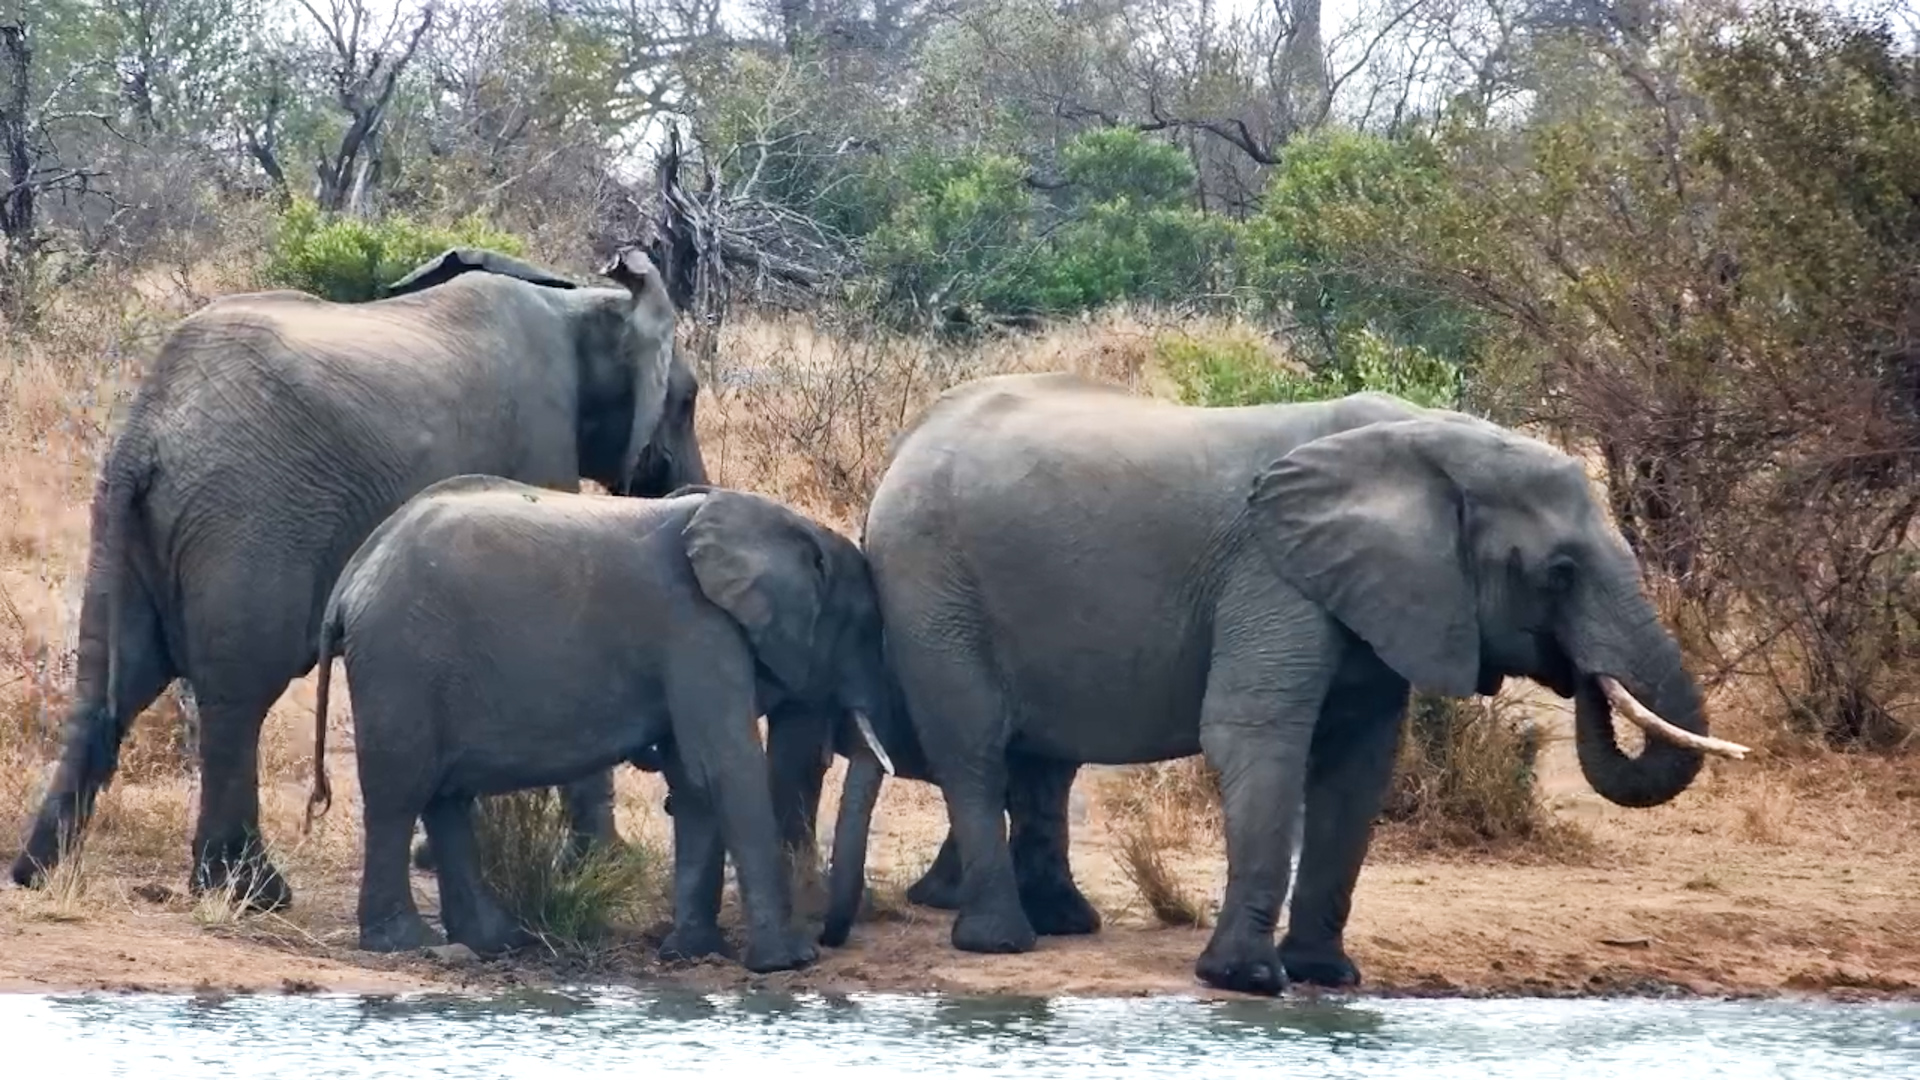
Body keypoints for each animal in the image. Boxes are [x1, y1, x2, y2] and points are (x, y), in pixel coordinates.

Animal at [9, 246, 707, 912]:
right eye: (688, 399)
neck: (578, 303)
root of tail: (146, 435)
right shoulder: (539, 436)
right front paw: (601, 867)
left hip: (126, 525)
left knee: (111, 685)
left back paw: (37, 871)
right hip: (251, 520)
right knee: (238, 696)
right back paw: (252, 891)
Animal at [302, 475, 894, 972]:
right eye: (869, 628)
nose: (828, 939)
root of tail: (351, 580)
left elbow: (693, 782)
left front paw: (693, 953)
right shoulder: (698, 627)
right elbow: (726, 768)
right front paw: (787, 963)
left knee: (446, 799)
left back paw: (497, 942)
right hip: (400, 661)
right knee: (400, 795)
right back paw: (405, 943)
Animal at [832, 371, 1746, 996]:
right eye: (1556, 573)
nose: (1583, 676)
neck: (1427, 447)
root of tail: (905, 446)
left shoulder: (1375, 594)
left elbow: (1359, 763)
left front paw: (1327, 977)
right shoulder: (1273, 573)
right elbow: (1257, 735)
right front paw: (1246, 981)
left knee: (1044, 764)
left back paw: (1065, 926)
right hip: (933, 581)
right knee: (977, 749)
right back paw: (1001, 944)